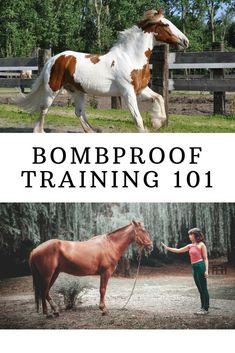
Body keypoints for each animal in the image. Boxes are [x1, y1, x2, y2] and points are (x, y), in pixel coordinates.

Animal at [15, 10, 189, 133]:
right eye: (166, 25)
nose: (185, 41)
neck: (130, 58)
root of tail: (53, 59)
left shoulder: (141, 89)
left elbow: (159, 97)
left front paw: (158, 121)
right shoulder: (128, 92)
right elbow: (138, 119)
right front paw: (153, 124)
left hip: (77, 91)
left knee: (79, 112)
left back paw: (93, 131)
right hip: (53, 89)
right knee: (44, 109)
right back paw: (40, 131)